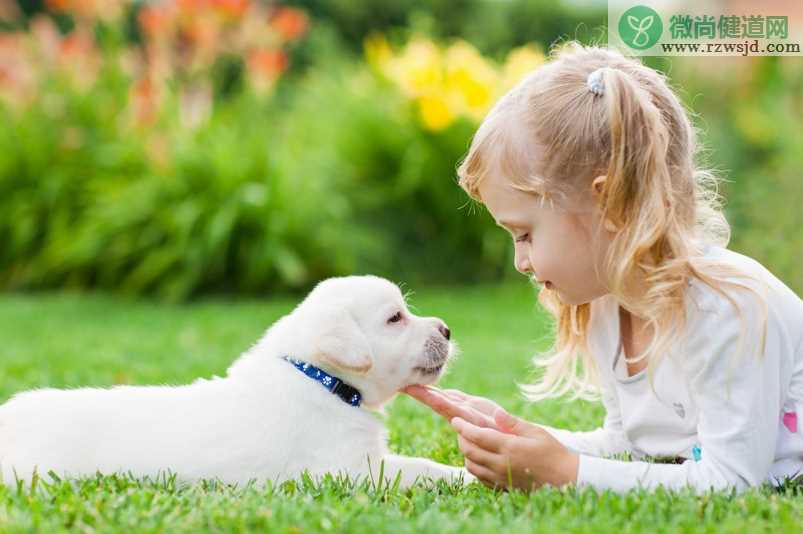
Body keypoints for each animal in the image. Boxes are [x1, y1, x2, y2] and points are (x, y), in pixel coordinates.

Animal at [0, 276, 474, 490]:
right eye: (395, 318)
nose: (448, 329)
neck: (320, 379)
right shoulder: (349, 470)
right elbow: (418, 469)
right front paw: (467, 477)